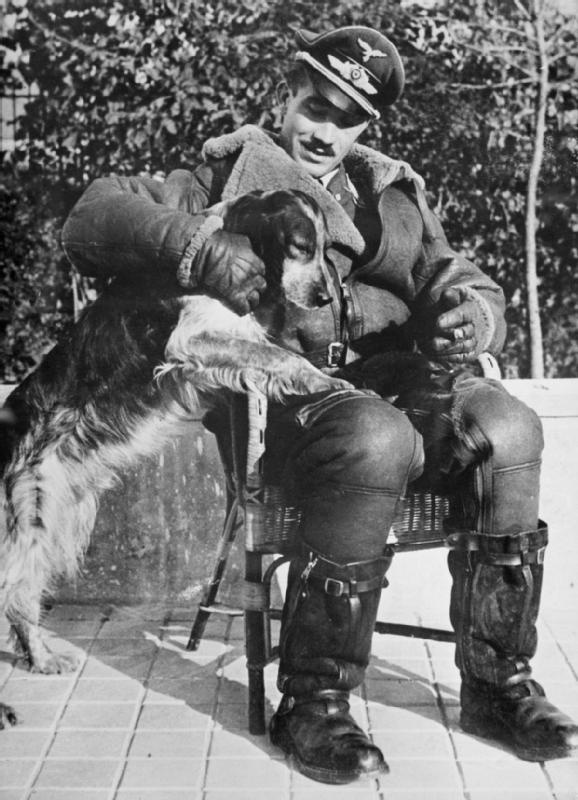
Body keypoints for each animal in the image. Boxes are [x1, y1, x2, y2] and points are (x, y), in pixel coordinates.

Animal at [0, 188, 352, 700]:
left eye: (327, 247)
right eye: (300, 247)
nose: (325, 296)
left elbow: (270, 357)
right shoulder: (193, 339)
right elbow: (282, 356)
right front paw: (324, 380)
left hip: (66, 516)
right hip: (35, 518)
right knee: (15, 592)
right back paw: (43, 658)